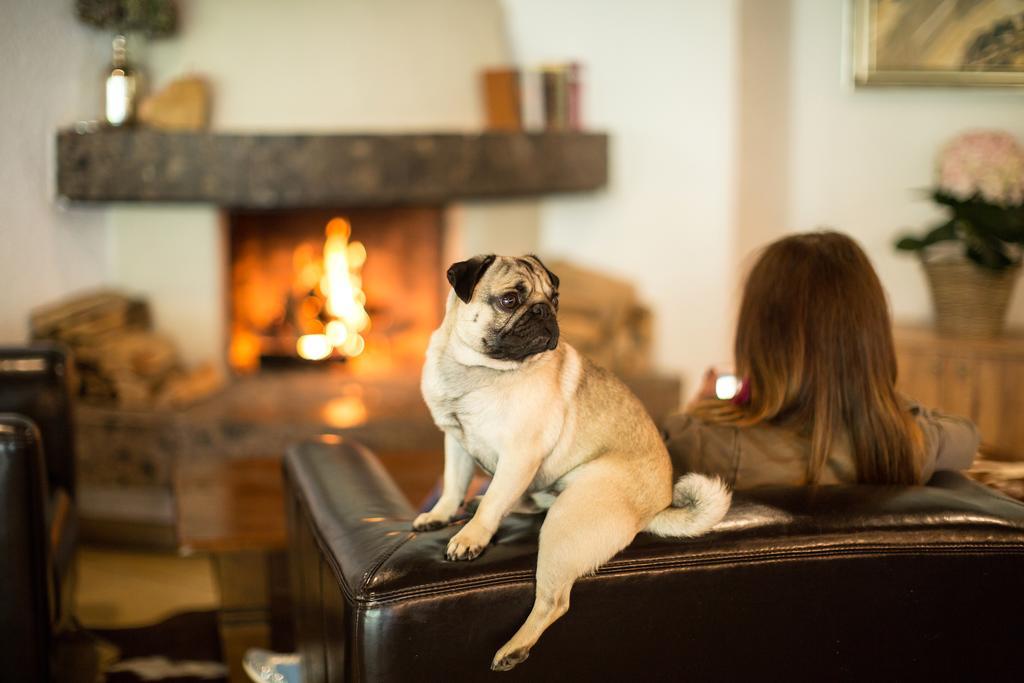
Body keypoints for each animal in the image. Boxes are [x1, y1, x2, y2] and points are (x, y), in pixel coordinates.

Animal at [411, 254, 733, 671]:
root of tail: (655, 507)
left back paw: (514, 648)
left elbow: (495, 500)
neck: (476, 369)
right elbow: (453, 484)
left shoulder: (520, 454)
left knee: (554, 600)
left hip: (564, 526)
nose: (544, 311)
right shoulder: (456, 441)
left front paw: (472, 537)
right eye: (510, 300)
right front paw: (442, 514)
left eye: (555, 299)